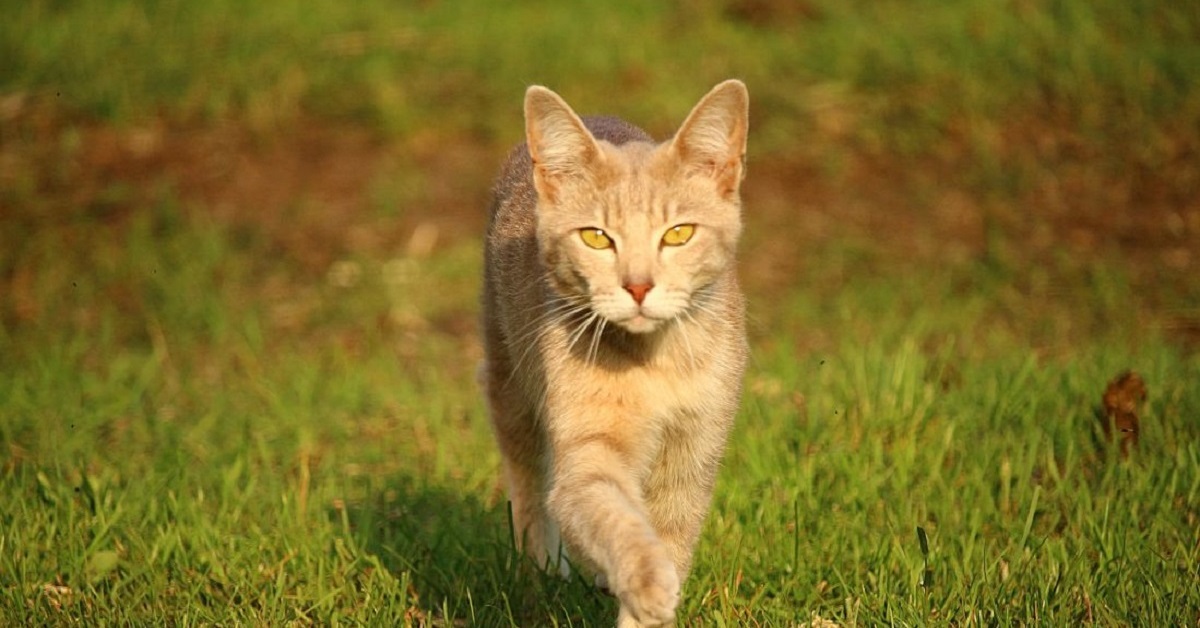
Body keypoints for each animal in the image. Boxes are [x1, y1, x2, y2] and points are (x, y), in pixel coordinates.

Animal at [480, 79, 748, 628]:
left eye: (679, 233)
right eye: (596, 238)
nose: (638, 286)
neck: (657, 361)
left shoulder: (693, 455)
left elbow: (672, 535)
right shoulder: (589, 453)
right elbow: (613, 518)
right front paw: (646, 582)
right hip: (508, 381)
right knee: (529, 484)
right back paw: (543, 567)